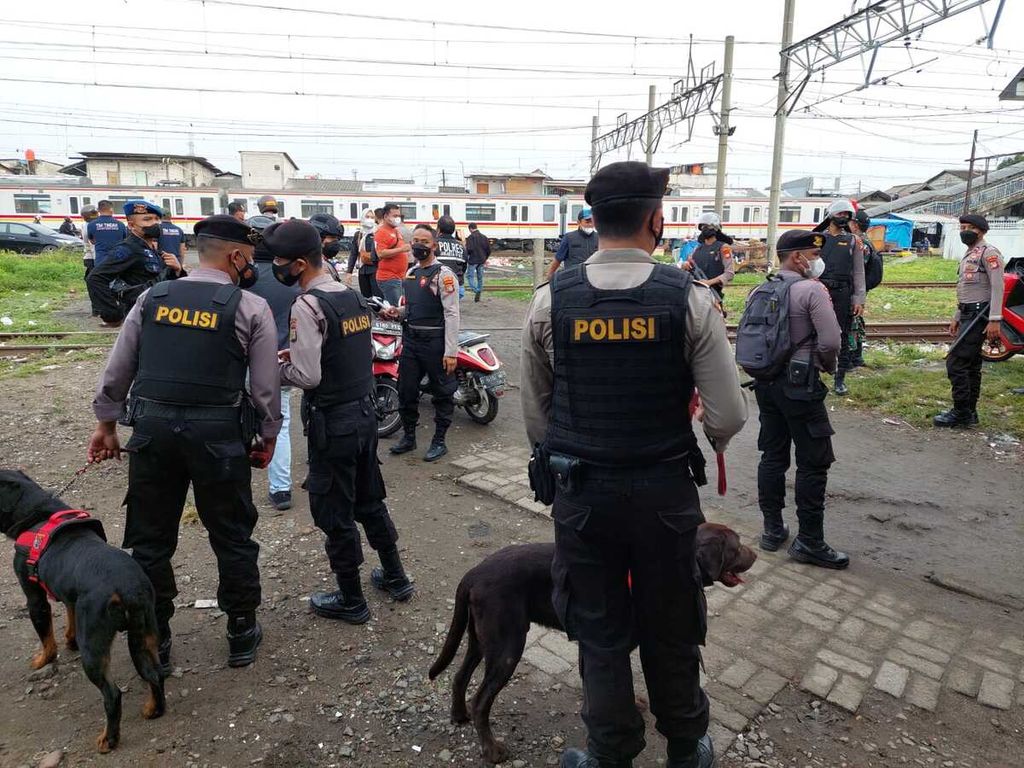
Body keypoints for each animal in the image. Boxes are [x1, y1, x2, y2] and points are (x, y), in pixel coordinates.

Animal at [428, 520, 757, 765]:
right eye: (737, 545)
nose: (756, 555)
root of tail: (474, 573)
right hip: (507, 647)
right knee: (481, 700)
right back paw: (492, 750)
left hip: (481, 641)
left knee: (459, 677)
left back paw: (459, 715)